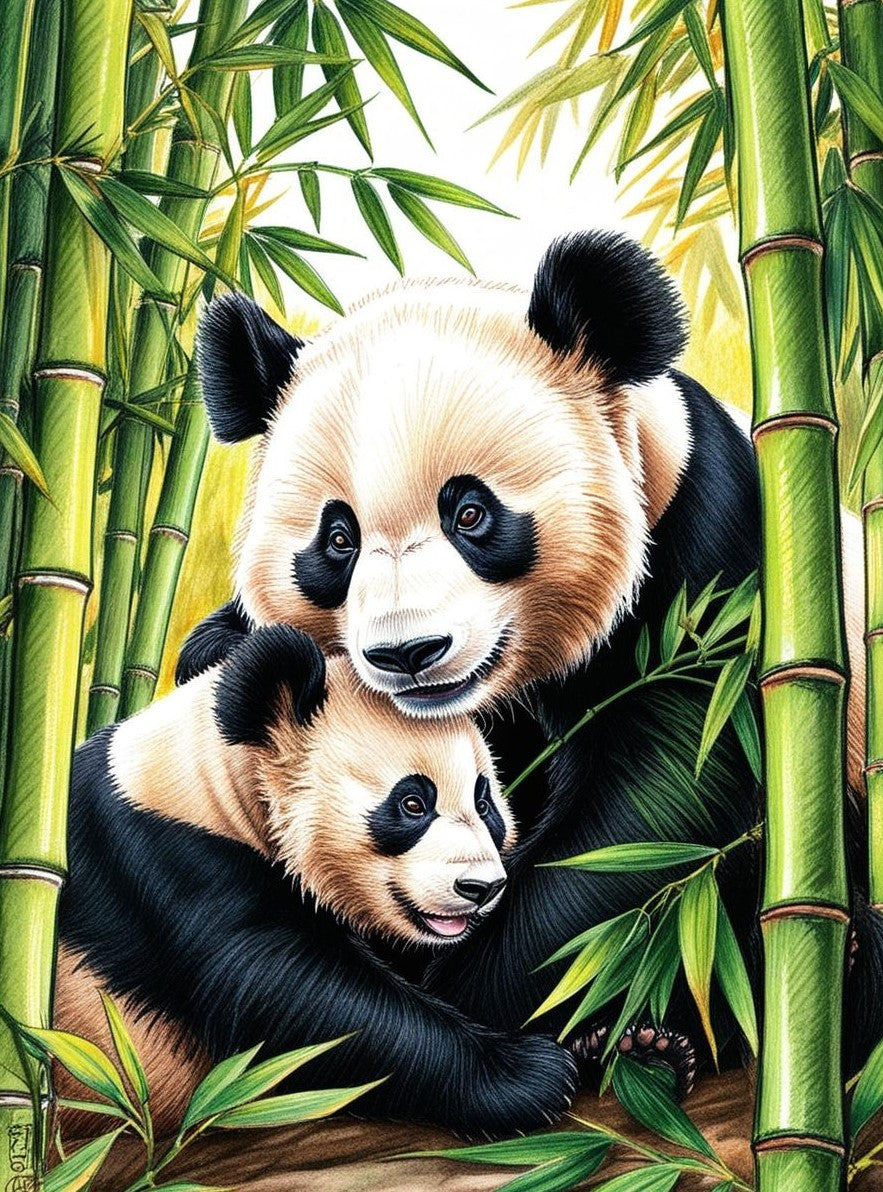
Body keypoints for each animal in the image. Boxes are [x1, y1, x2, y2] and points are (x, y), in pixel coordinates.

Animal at [58, 626, 578, 1136]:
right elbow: (289, 996)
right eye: (412, 804)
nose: (481, 887)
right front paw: (532, 1074)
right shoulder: (173, 861)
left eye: (484, 802)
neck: (219, 782)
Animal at [179, 230, 881, 1092]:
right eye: (337, 538)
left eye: (471, 513)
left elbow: (656, 800)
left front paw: (471, 985)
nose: (407, 652)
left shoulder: (712, 571)